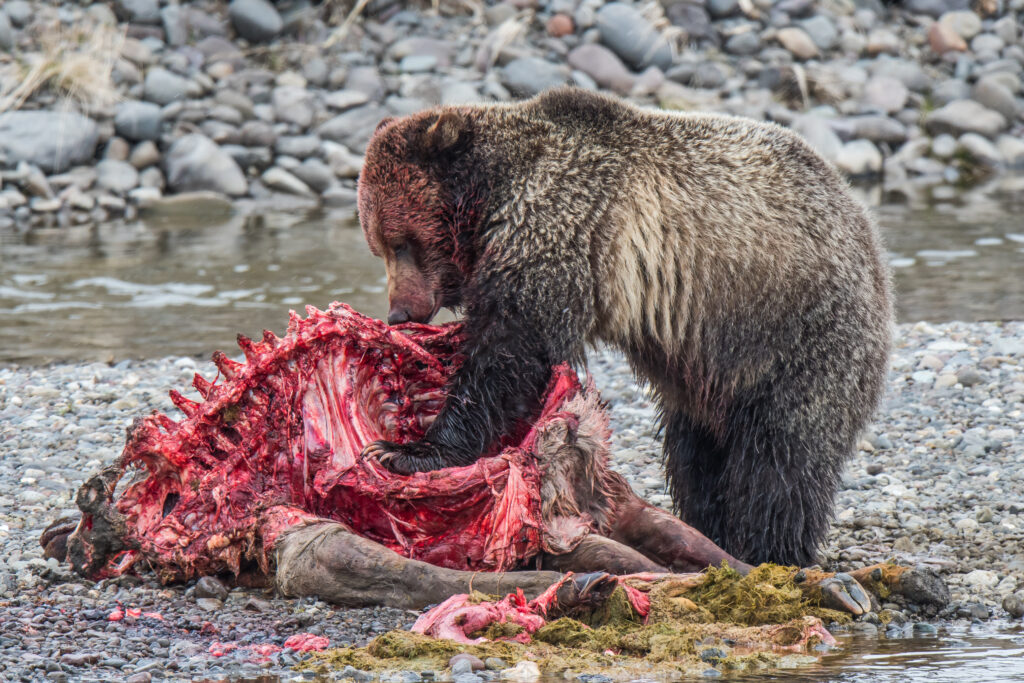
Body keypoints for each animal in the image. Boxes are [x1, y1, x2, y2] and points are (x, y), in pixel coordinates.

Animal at [356, 87, 892, 565]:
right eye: (377, 244)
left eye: (402, 241)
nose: (400, 312)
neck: (490, 200)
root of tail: (867, 233)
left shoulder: (557, 225)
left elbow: (511, 351)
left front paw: (405, 451)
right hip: (711, 370)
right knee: (696, 452)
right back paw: (710, 525)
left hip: (799, 332)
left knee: (782, 454)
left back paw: (769, 547)